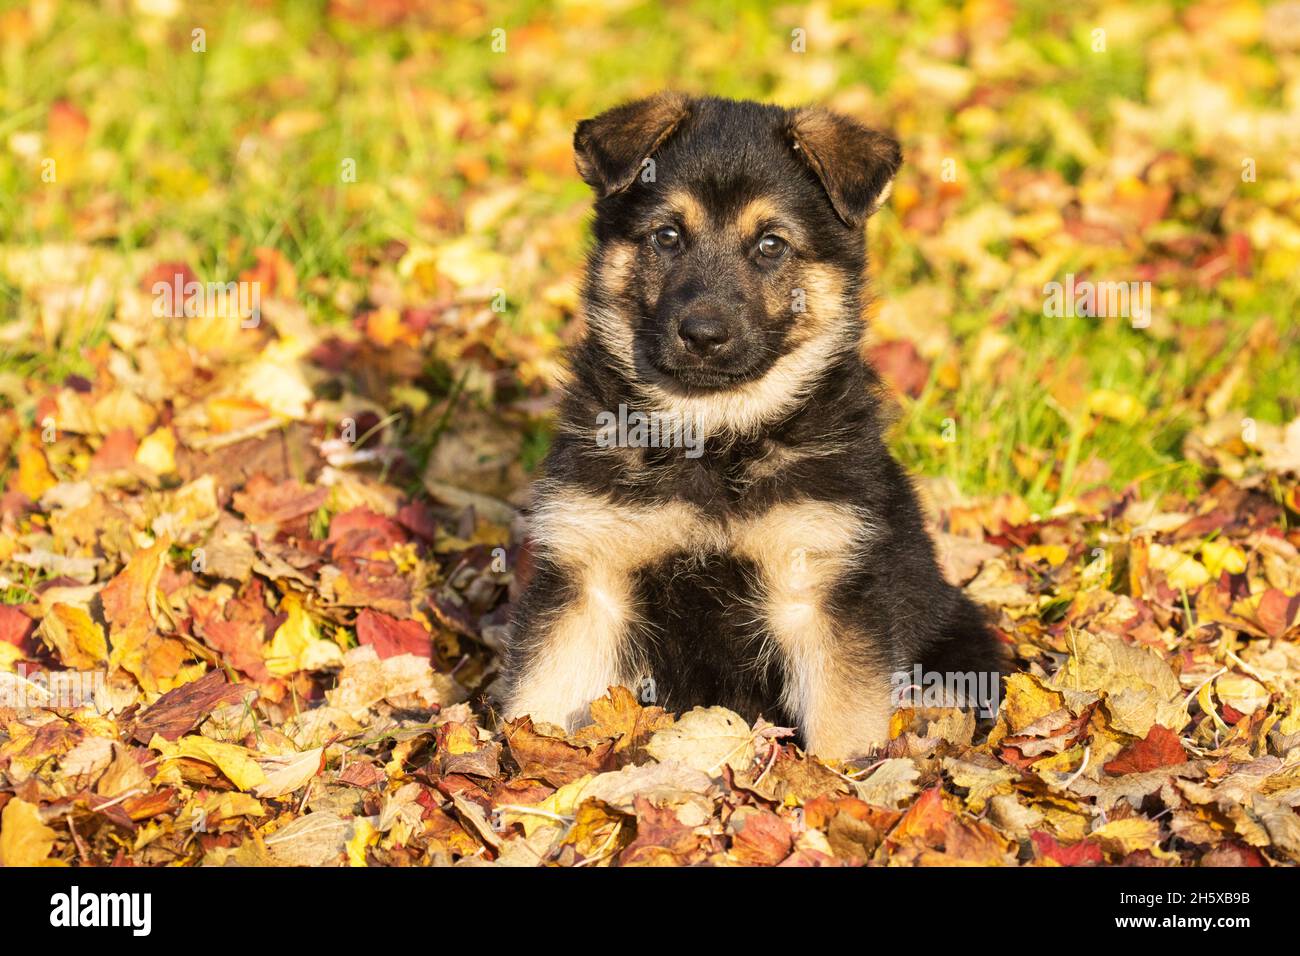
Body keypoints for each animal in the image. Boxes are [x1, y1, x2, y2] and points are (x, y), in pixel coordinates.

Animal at [501, 93, 998, 759]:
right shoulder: (588, 580)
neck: (713, 437)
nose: (703, 335)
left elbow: (843, 723)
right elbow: (541, 694)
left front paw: (845, 779)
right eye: (667, 236)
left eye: (770, 245)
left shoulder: (820, 589)